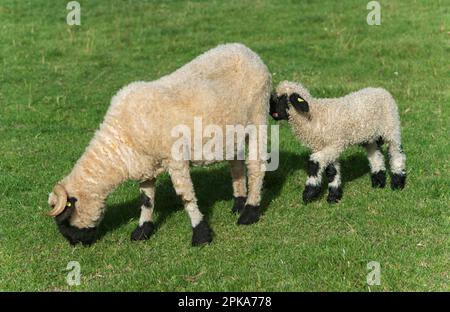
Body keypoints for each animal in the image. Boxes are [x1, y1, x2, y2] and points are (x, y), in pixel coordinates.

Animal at [46, 42, 270, 245]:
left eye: (65, 219)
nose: (74, 243)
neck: (120, 140)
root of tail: (246, 50)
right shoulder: (146, 165)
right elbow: (146, 200)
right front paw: (142, 231)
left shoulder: (176, 158)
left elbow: (186, 197)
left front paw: (200, 234)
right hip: (233, 131)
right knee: (237, 165)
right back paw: (239, 203)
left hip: (258, 115)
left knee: (256, 166)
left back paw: (249, 212)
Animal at [268, 80, 406, 204]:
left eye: (280, 98)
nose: (269, 111)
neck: (313, 116)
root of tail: (380, 89)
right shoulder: (325, 147)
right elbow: (332, 172)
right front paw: (334, 197)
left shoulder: (335, 145)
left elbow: (314, 163)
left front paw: (309, 193)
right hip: (370, 136)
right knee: (375, 155)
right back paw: (378, 182)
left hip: (391, 127)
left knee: (396, 153)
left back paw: (398, 182)